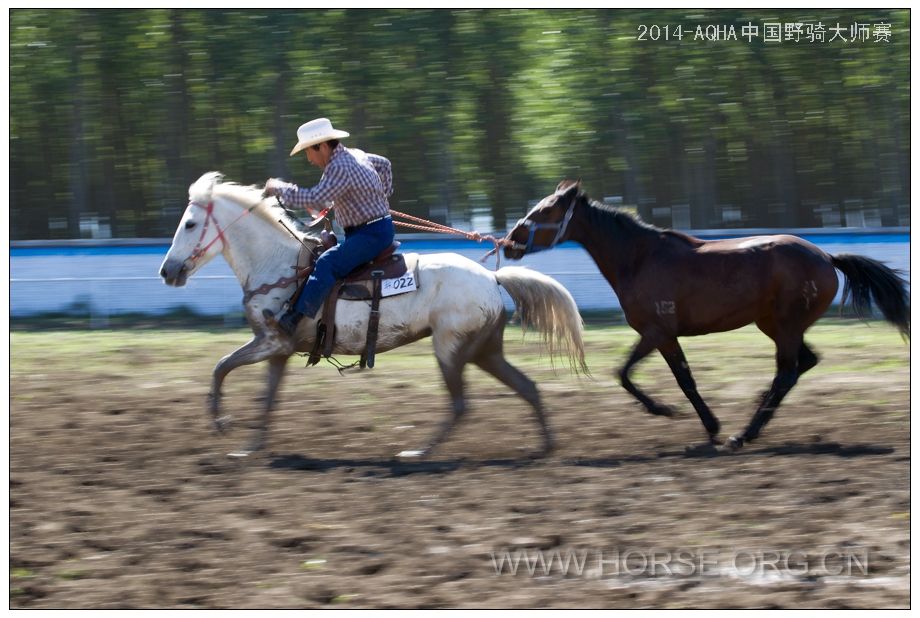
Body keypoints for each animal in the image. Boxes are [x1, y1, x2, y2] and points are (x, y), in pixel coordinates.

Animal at [161, 173, 584, 458]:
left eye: (190, 224)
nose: (168, 271)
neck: (280, 265)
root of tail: (492, 277)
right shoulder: (278, 351)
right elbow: (265, 398)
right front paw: (249, 447)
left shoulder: (270, 341)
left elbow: (221, 366)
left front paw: (220, 422)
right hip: (485, 350)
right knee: (526, 387)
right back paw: (546, 446)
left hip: (451, 349)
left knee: (461, 405)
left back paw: (419, 453)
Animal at [506, 180, 908, 450]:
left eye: (544, 211)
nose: (509, 242)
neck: (639, 258)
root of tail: (826, 257)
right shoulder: (662, 335)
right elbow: (667, 377)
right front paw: (705, 424)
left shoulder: (658, 332)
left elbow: (642, 375)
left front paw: (680, 415)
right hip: (775, 325)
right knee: (803, 364)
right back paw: (755, 415)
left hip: (786, 326)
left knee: (787, 373)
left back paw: (743, 434)